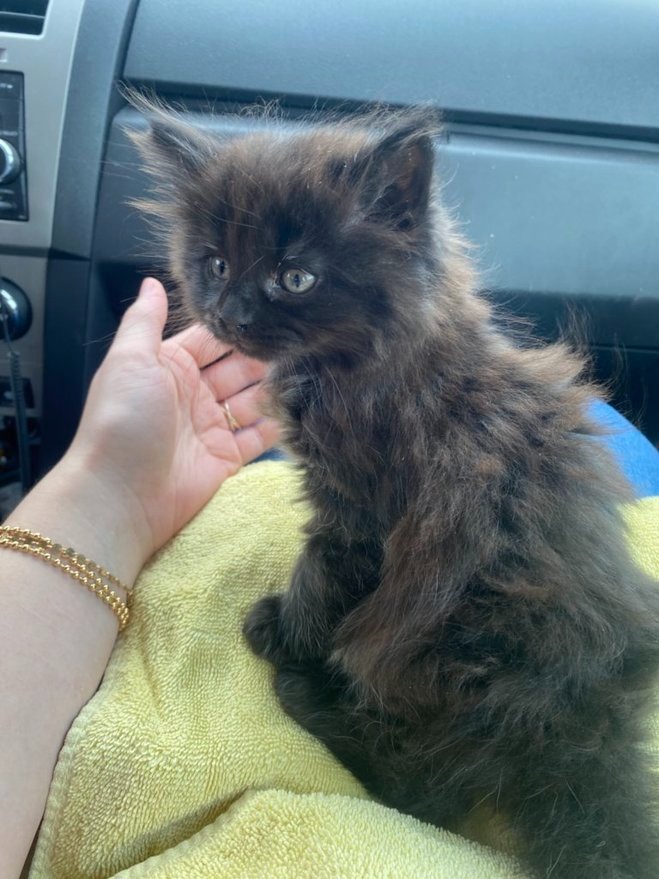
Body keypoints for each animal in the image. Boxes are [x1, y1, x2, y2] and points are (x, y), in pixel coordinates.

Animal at [133, 103, 659, 879]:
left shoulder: (357, 510)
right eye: (218, 264)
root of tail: (585, 718)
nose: (229, 313)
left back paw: (308, 695)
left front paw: (281, 629)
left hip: (444, 656)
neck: (367, 361)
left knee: (423, 792)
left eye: (296, 277)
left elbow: (320, 576)